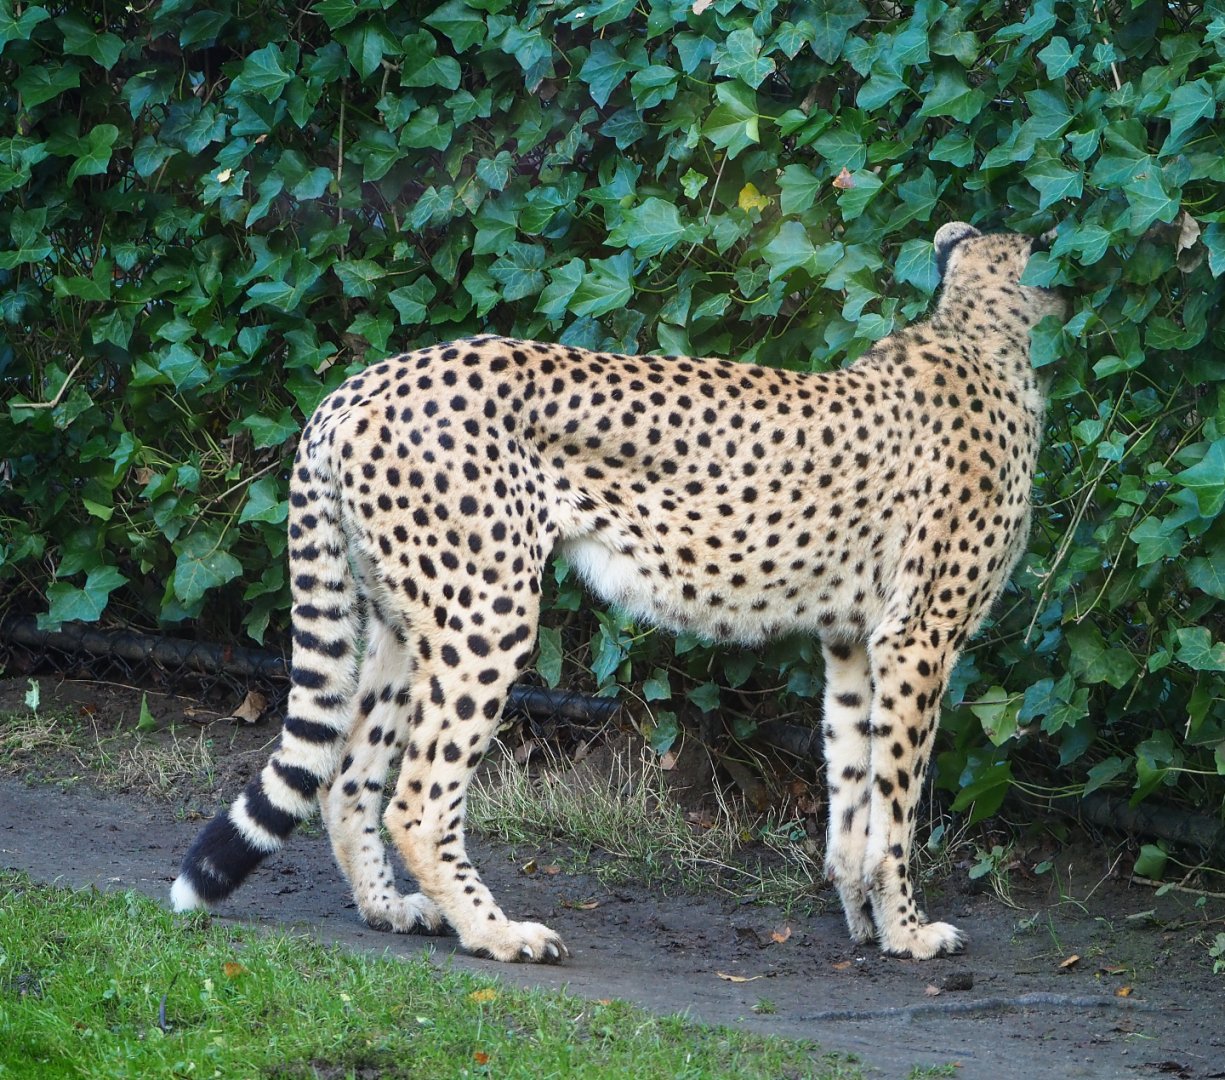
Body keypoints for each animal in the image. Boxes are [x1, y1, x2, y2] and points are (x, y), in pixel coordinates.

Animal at [171, 221, 1066, 962]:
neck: (975, 330)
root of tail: (359, 384)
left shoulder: (851, 640)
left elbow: (852, 788)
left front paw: (863, 920)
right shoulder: (917, 639)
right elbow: (897, 806)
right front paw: (909, 932)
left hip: (404, 617)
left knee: (350, 773)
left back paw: (390, 909)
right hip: (488, 612)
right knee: (418, 798)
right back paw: (497, 933)